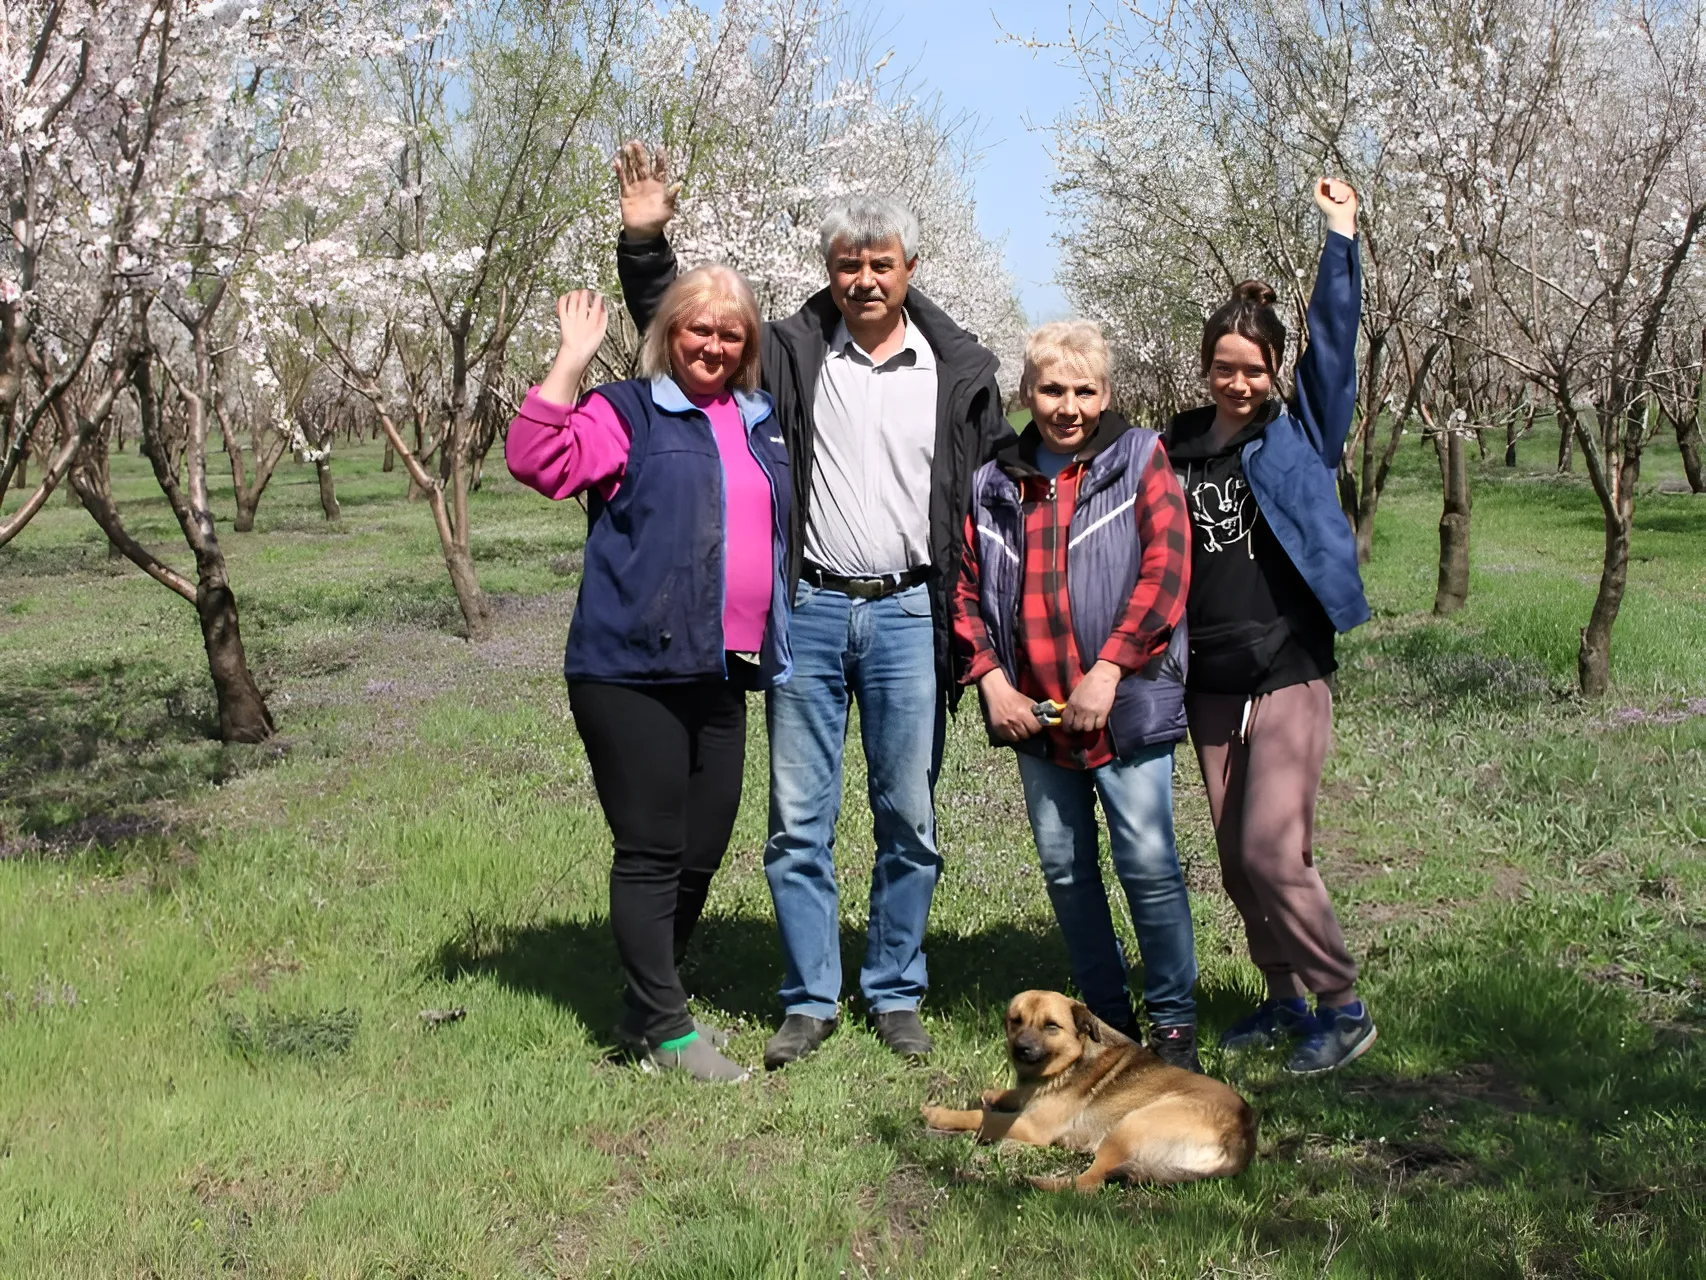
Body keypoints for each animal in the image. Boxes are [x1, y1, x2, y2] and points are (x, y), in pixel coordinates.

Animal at [921, 989, 1255, 1194]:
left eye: (1051, 1026)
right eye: (1015, 1020)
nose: (1021, 1049)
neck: (1068, 1063)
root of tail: (1240, 1141)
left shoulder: (1030, 1125)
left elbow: (982, 1117)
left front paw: (938, 1113)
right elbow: (1008, 1096)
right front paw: (994, 1094)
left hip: (1129, 1126)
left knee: (1087, 1184)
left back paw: (1034, 1182)